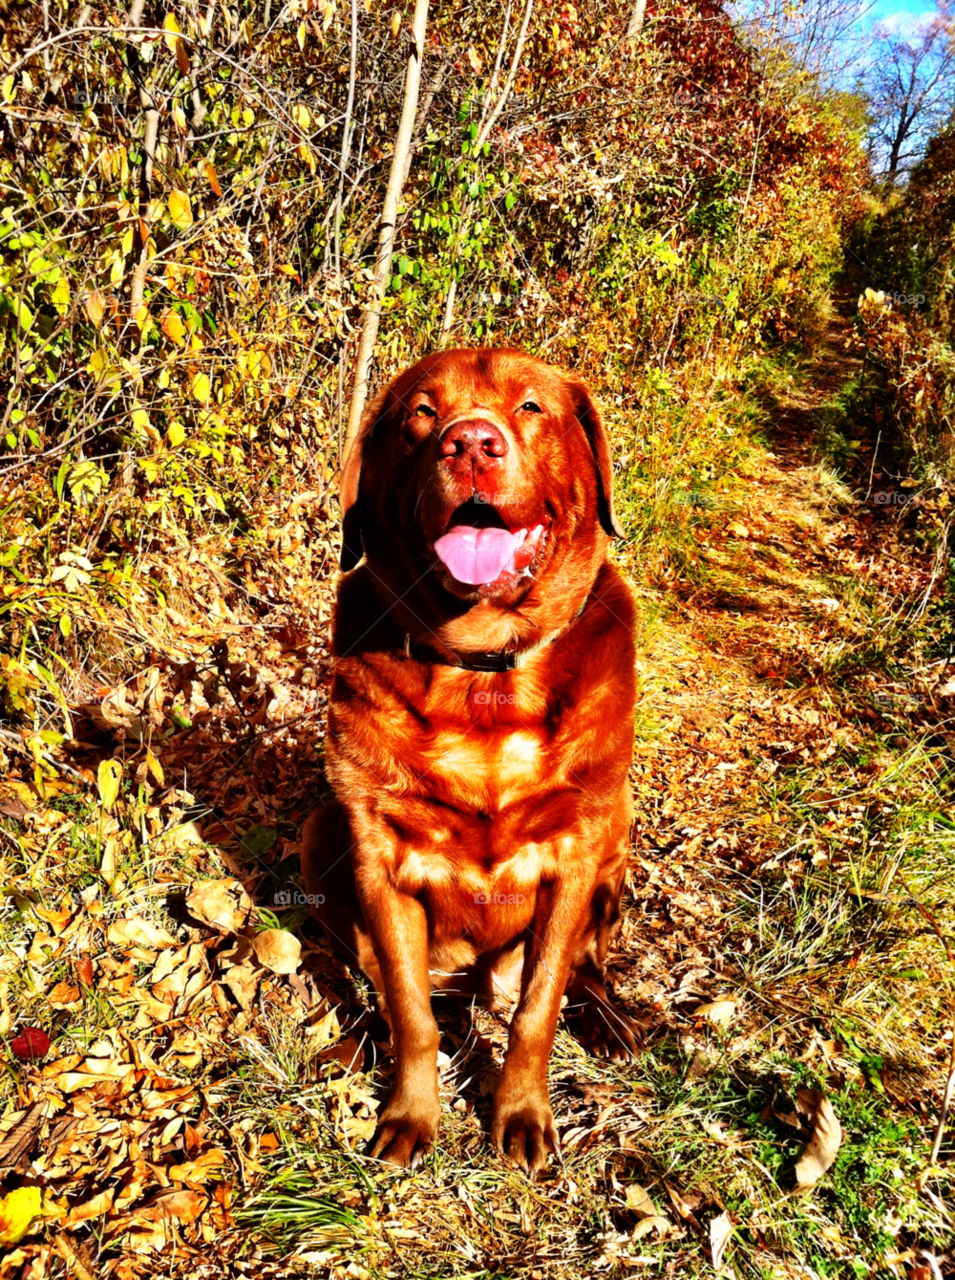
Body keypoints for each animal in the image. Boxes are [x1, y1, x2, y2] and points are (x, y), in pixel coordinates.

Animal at [300, 345, 634, 1172]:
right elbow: (410, 1015)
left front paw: (519, 1115)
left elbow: (538, 1006)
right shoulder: (379, 857)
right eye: (422, 412)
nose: (471, 443)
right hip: (320, 835)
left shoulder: (576, 852)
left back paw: (611, 1019)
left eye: (529, 406)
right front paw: (410, 1114)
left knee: (582, 967)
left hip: (617, 841)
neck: (484, 667)